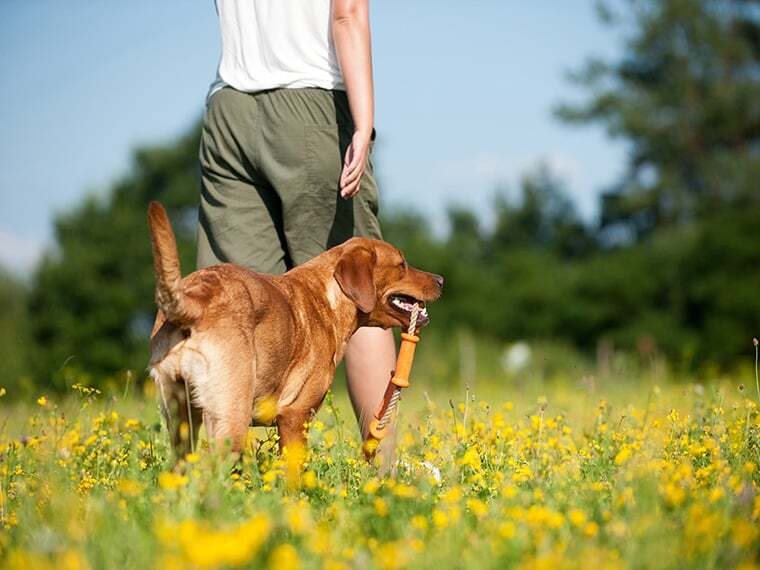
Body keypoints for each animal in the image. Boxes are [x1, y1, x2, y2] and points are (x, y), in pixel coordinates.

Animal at [146, 202, 442, 460]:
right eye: (402, 264)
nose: (441, 279)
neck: (330, 297)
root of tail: (194, 299)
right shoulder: (294, 415)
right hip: (230, 416)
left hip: (180, 417)